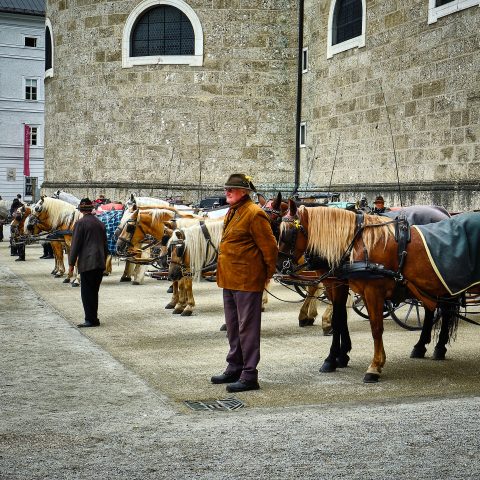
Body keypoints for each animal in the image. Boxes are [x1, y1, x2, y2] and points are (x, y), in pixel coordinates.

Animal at [276, 201, 470, 384]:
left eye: (287, 232)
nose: (279, 265)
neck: (351, 241)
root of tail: (443, 212)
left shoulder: (350, 285)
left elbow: (351, 321)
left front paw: (340, 357)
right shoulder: (335, 283)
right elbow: (340, 318)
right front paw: (338, 356)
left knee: (445, 310)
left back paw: (439, 347)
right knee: (432, 309)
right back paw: (421, 346)